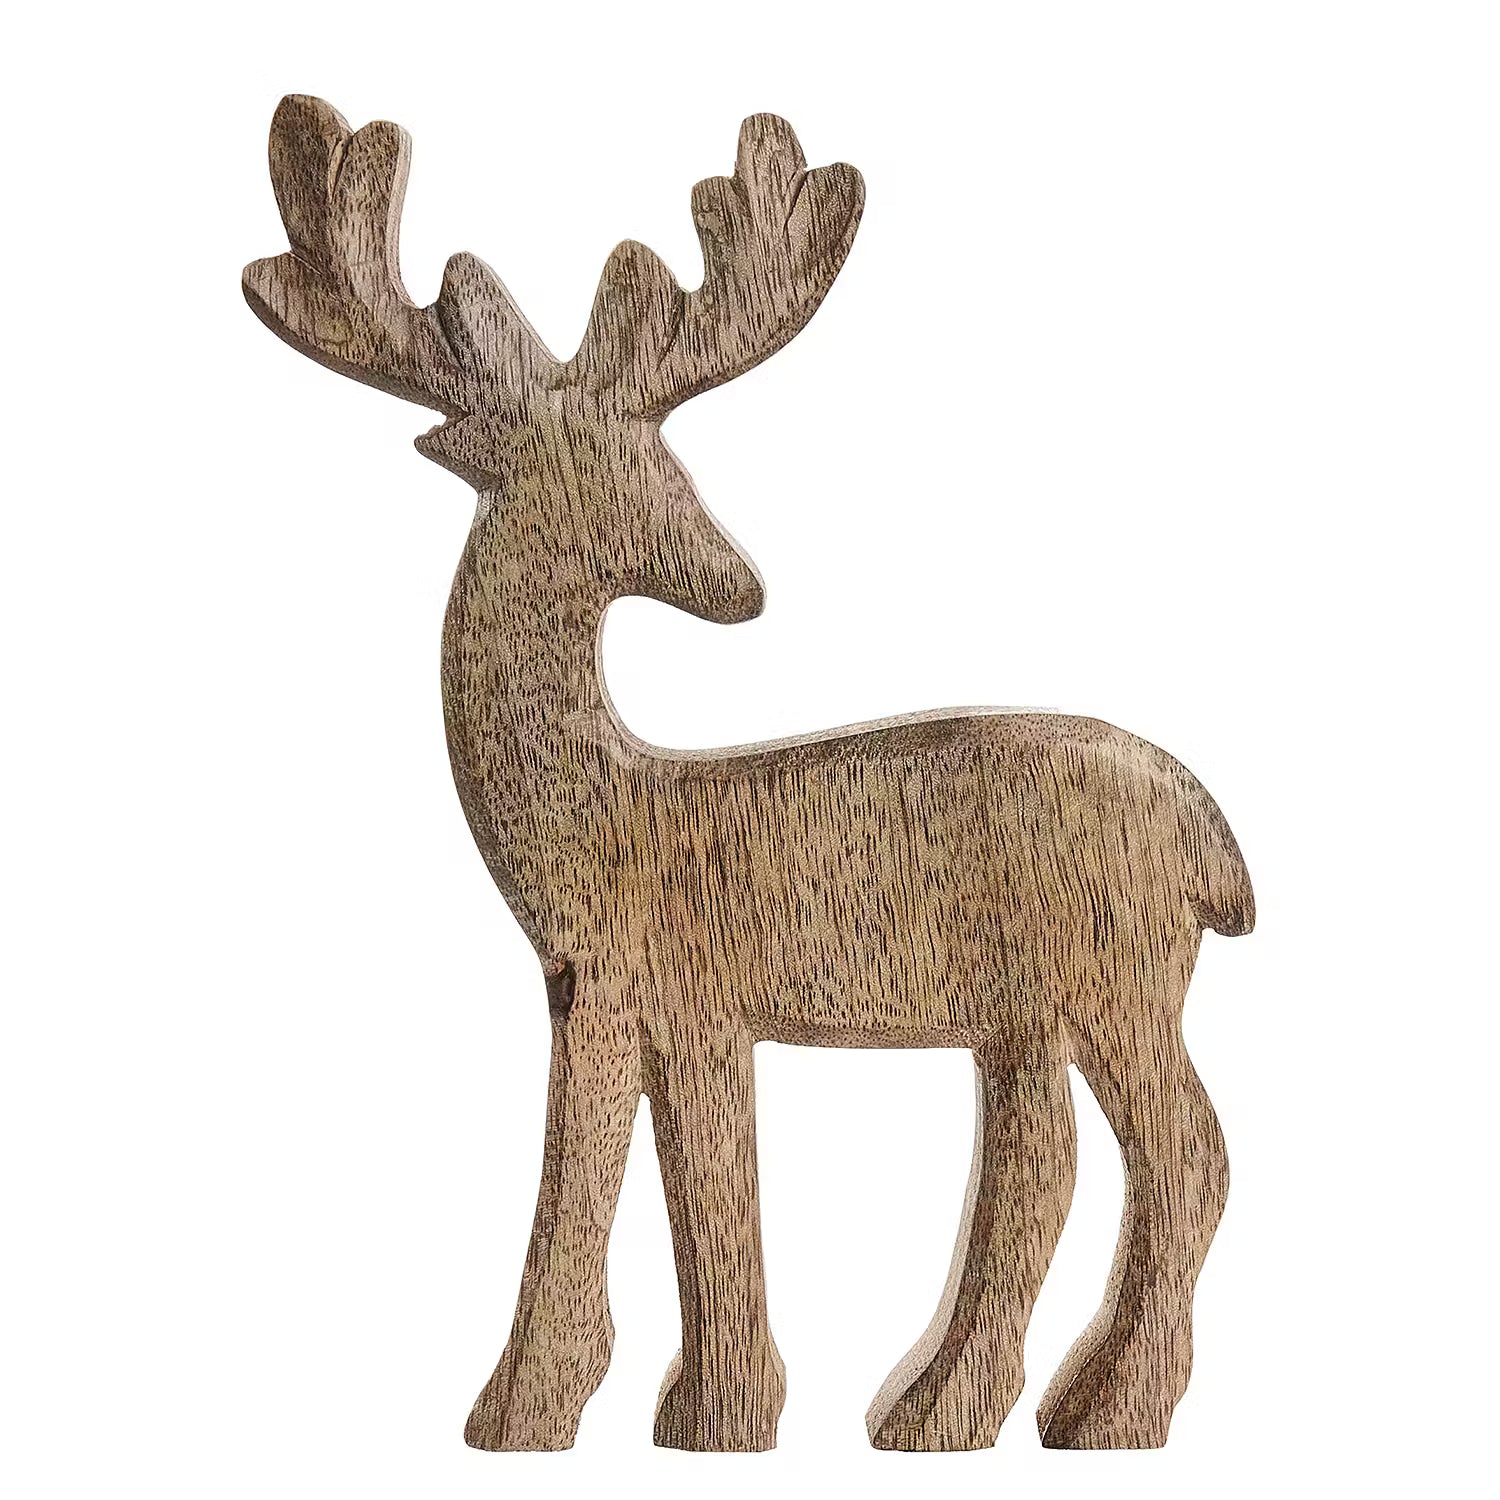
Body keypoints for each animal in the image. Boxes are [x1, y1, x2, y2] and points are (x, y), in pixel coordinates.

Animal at [244, 95, 1254, 1455]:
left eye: (670, 462)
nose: (742, 585)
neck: (599, 807)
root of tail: (1217, 841)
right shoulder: (693, 1009)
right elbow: (708, 1183)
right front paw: (715, 1409)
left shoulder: (621, 981)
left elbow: (589, 1186)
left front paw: (527, 1410)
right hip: (1032, 1009)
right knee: (1044, 1167)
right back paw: (949, 1408)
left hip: (1123, 974)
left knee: (1190, 1156)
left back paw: (1103, 1411)